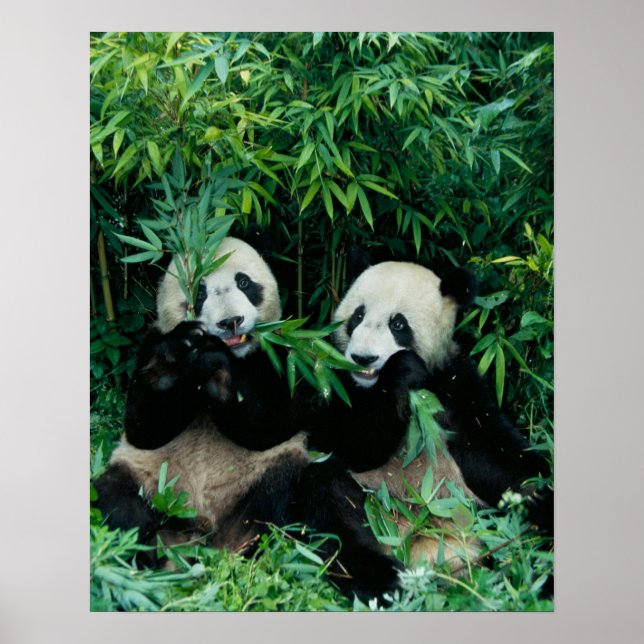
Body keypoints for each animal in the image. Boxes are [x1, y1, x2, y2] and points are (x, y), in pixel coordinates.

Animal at [93, 233, 403, 603]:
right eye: (200, 291)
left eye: (244, 282)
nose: (230, 322)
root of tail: (215, 540)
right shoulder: (149, 344)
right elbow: (143, 428)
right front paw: (173, 361)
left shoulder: (288, 355)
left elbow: (276, 421)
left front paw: (217, 366)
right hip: (152, 485)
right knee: (116, 504)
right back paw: (137, 567)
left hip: (278, 482)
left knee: (329, 503)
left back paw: (381, 582)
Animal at [303, 252, 553, 566]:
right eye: (357, 316)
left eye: (398, 325)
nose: (363, 358)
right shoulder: (333, 379)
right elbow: (346, 443)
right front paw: (401, 370)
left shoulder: (455, 386)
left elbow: (495, 456)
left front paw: (543, 496)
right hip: (368, 502)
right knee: (331, 505)